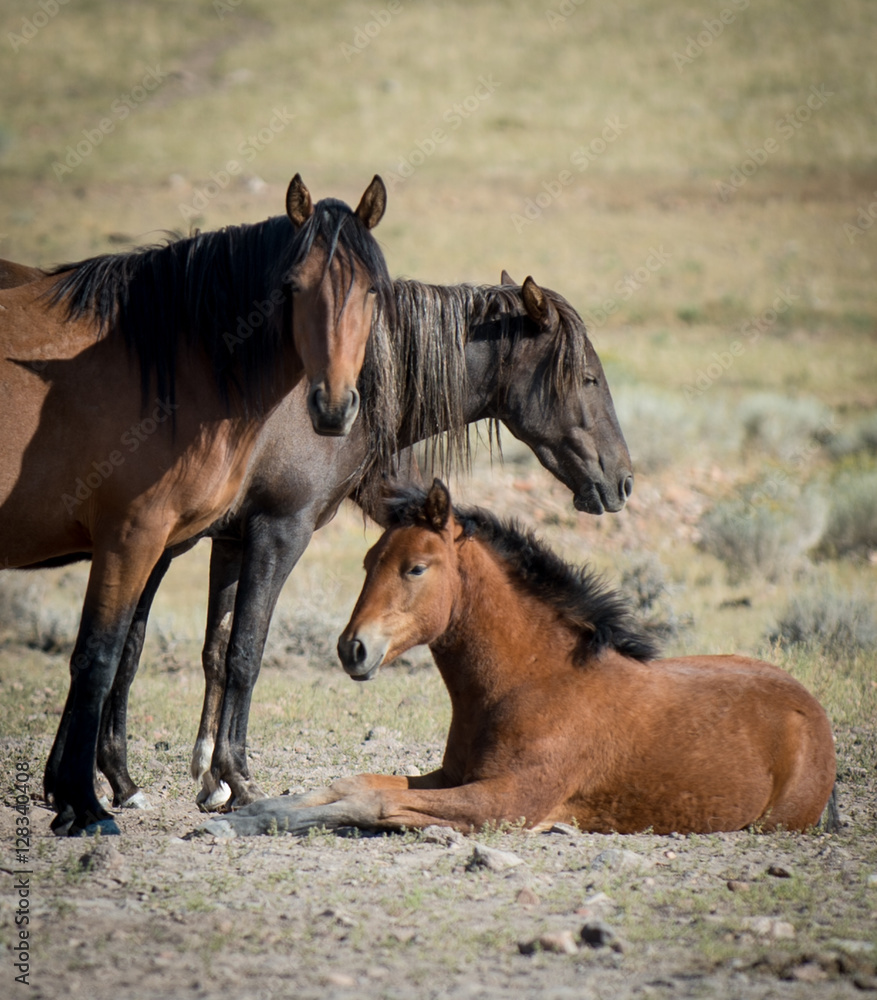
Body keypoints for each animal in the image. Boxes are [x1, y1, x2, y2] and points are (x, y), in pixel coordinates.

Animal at [0, 176, 390, 832]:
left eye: (371, 289)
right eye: (292, 287)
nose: (334, 407)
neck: (176, 362)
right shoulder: (134, 536)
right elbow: (101, 658)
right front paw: (85, 802)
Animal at [73, 272, 628, 812]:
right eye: (588, 378)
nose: (622, 481)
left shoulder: (228, 539)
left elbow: (209, 650)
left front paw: (205, 782)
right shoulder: (261, 533)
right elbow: (225, 652)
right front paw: (225, 780)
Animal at [204, 480, 836, 840]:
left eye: (416, 567)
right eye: (367, 562)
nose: (352, 649)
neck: (532, 682)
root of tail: (812, 711)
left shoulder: (505, 801)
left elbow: (372, 800)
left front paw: (252, 820)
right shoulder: (455, 775)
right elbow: (350, 781)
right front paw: (247, 809)